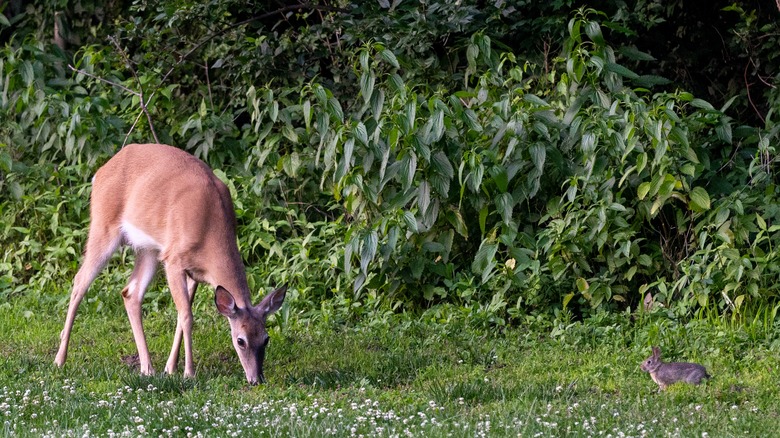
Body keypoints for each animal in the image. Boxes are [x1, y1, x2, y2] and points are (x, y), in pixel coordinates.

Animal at [53, 143, 286, 385]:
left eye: (266, 338)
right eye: (240, 340)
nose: (256, 379)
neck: (209, 230)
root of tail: (100, 171)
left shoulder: (194, 272)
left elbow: (181, 316)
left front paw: (170, 368)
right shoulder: (174, 260)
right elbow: (187, 316)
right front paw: (188, 372)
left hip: (149, 249)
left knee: (130, 292)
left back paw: (147, 368)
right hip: (103, 226)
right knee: (80, 281)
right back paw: (60, 359)